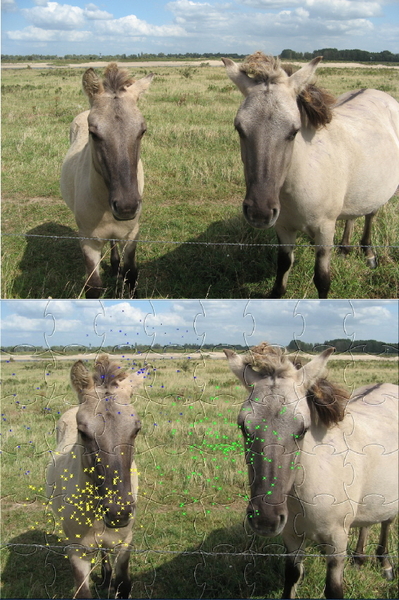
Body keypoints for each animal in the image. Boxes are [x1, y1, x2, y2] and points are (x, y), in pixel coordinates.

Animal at [46, 354, 145, 596]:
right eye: (82, 432)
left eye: (136, 428)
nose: (119, 513)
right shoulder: (77, 552)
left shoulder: (124, 543)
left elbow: (124, 583)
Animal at [60, 63, 155, 298]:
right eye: (93, 133)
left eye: (142, 130)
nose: (127, 206)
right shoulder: (88, 242)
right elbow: (93, 286)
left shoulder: (131, 236)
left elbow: (131, 276)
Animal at [222, 52, 399, 298]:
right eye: (239, 128)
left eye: (294, 131)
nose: (259, 212)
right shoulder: (283, 227)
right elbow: (283, 266)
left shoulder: (324, 230)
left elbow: (322, 280)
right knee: (353, 215)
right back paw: (345, 248)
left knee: (371, 214)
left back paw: (369, 254)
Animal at [227, 342, 398, 600]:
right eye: (243, 426)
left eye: (303, 429)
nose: (265, 519)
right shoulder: (291, 538)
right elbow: (291, 578)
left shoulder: (337, 542)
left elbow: (334, 589)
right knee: (367, 522)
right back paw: (359, 559)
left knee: (387, 521)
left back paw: (385, 564)